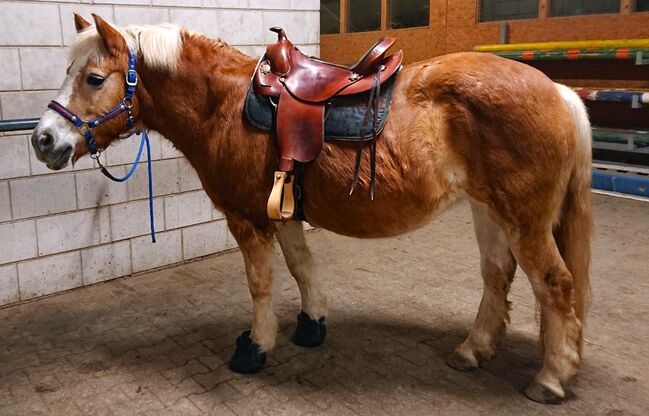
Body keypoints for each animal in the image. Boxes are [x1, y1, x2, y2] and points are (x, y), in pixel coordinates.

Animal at [31, 15, 592, 404]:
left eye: (94, 78)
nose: (43, 140)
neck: (223, 106)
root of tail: (558, 91)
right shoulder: (284, 214)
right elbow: (302, 267)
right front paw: (312, 325)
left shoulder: (248, 219)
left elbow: (261, 284)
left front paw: (256, 347)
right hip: (489, 212)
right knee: (497, 276)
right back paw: (473, 350)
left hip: (524, 221)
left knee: (557, 286)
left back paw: (551, 377)